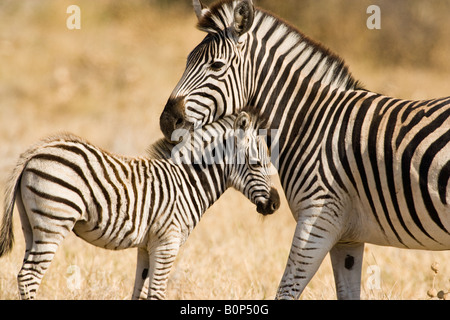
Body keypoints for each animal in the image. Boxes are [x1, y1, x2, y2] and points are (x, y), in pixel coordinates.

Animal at [0, 111, 280, 298]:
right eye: (257, 163)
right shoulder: (167, 243)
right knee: (29, 276)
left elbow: (141, 293)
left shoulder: (147, 245)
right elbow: (156, 294)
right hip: (54, 222)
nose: (276, 204)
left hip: (32, 225)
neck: (186, 183)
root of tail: (37, 150)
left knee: (24, 273)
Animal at [159, 0, 450, 300]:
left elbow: (286, 290)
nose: (167, 121)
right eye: (187, 61)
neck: (309, 121)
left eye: (216, 66)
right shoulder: (347, 236)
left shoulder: (318, 217)